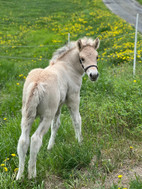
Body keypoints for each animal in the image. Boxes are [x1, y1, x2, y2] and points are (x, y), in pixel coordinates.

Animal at [16, 36, 100, 179]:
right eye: (82, 58)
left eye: (97, 56)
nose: (93, 75)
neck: (68, 66)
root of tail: (37, 84)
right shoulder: (73, 98)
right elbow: (77, 120)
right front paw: (80, 143)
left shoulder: (58, 106)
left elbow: (56, 125)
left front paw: (50, 148)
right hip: (46, 116)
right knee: (35, 139)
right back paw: (32, 174)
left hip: (27, 115)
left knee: (23, 141)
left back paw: (19, 176)